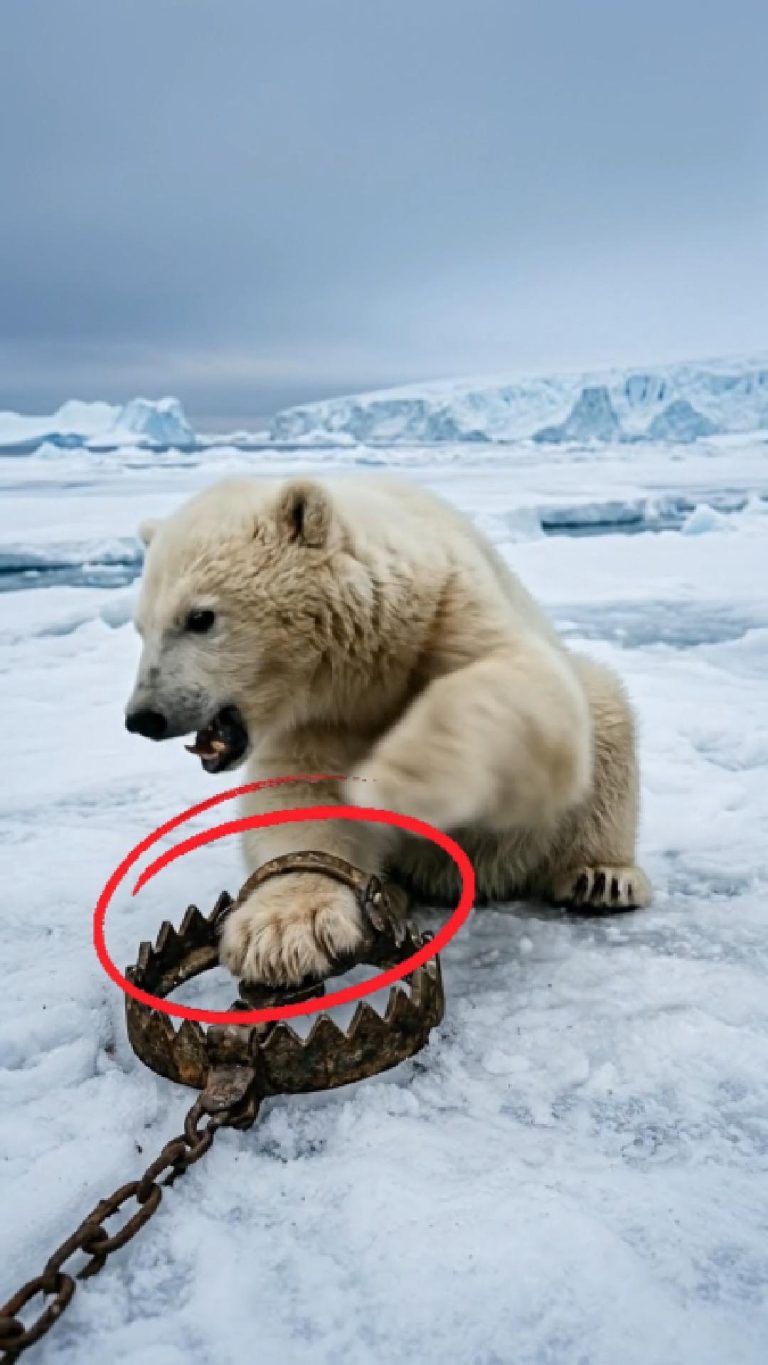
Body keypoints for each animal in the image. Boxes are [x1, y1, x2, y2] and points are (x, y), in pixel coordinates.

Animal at [125, 474, 650, 986]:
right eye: (141, 627)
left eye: (200, 617)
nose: (143, 716)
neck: (365, 665)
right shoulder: (319, 719)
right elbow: (299, 794)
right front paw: (281, 933)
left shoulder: (450, 611)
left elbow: (528, 690)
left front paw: (398, 778)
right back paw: (390, 893)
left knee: (605, 712)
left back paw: (602, 877)